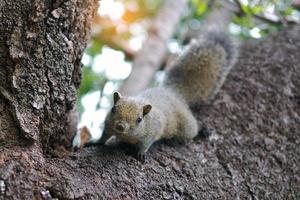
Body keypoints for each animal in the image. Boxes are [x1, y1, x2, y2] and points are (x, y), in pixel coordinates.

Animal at [74, 31, 239, 162]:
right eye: (113, 109)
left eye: (139, 119)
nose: (120, 126)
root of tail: (173, 92)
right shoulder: (108, 125)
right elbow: (104, 136)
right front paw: (96, 142)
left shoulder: (153, 130)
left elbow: (146, 144)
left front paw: (141, 154)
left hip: (186, 126)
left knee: (193, 130)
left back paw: (202, 132)